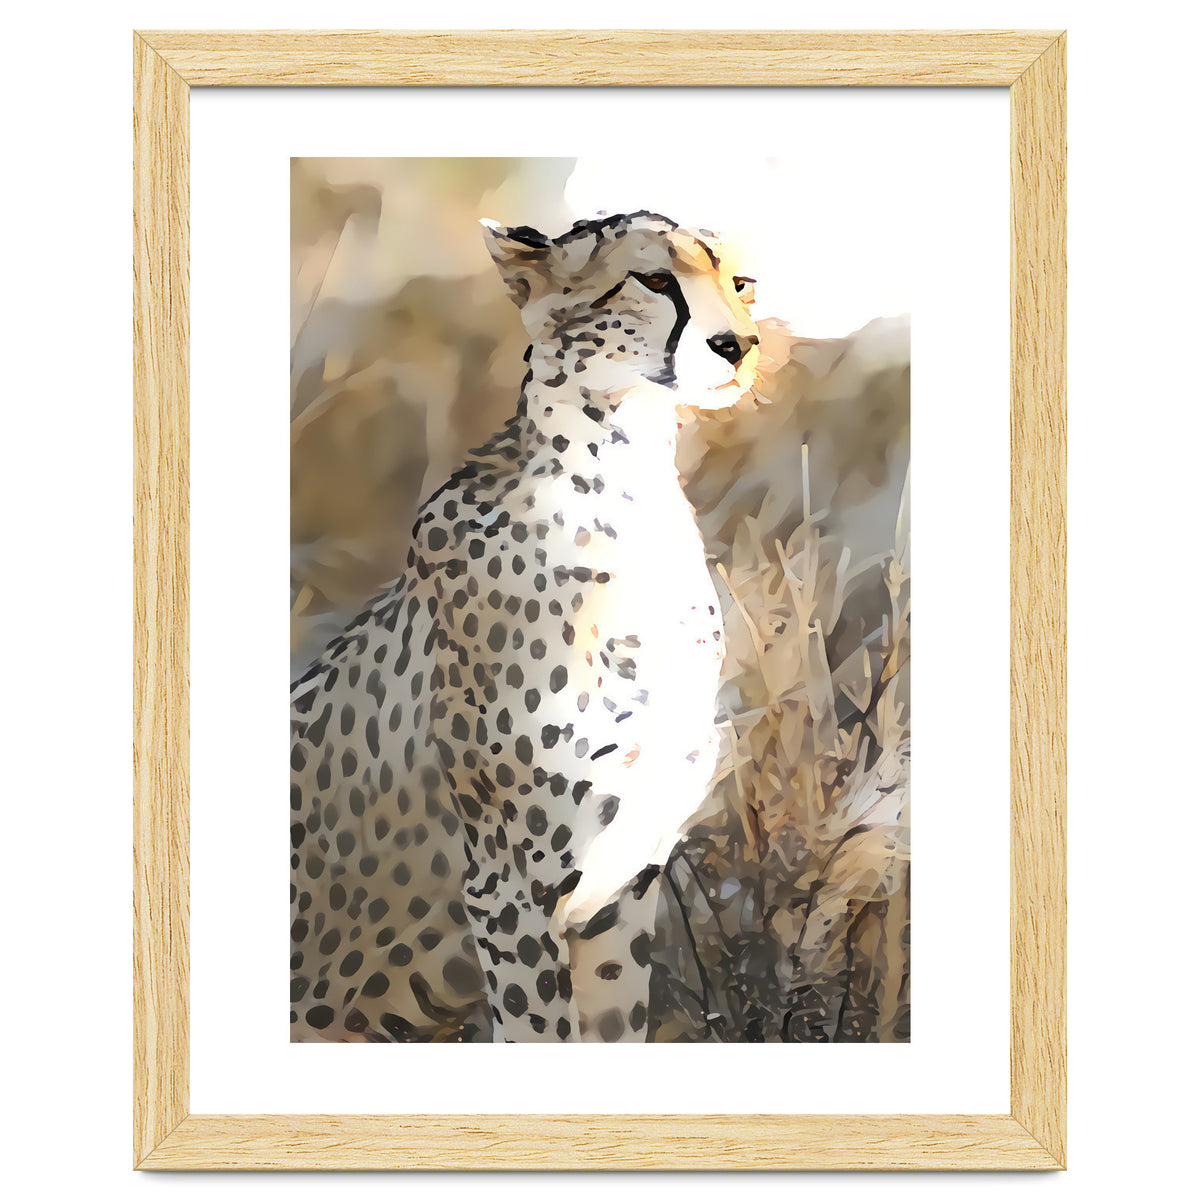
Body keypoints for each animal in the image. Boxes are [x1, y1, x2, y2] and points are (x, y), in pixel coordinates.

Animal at [290, 211, 760, 1042]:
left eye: (741, 283)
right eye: (654, 278)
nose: (740, 345)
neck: (626, 488)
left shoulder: (617, 894)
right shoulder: (508, 893)